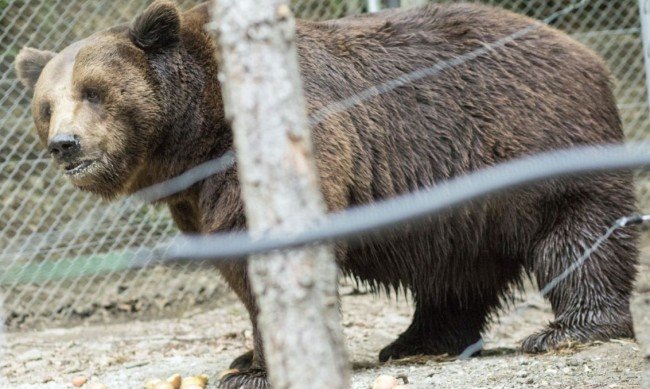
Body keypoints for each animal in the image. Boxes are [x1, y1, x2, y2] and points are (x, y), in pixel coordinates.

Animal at [15, 0, 636, 388]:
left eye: (94, 91)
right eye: (47, 105)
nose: (66, 144)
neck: (192, 138)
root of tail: (587, 54)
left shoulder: (269, 152)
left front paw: (251, 369)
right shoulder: (193, 196)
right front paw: (247, 355)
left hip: (537, 140)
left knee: (578, 233)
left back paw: (570, 328)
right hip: (460, 197)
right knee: (454, 268)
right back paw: (418, 340)